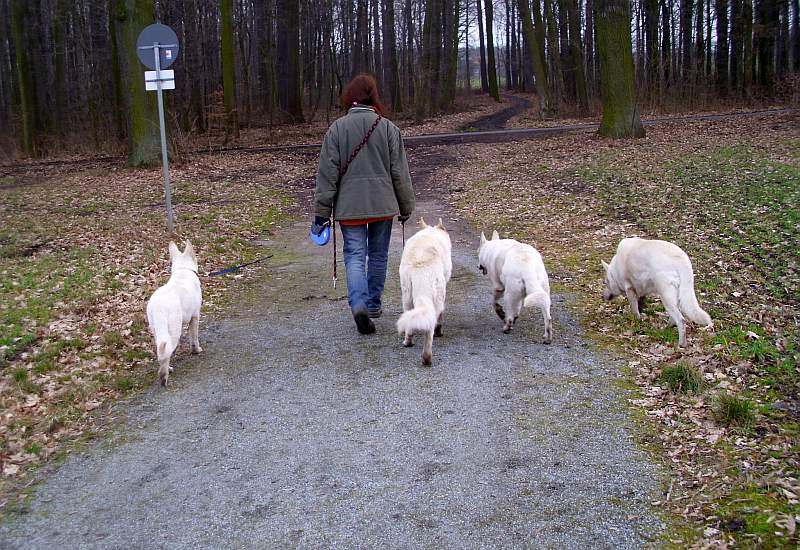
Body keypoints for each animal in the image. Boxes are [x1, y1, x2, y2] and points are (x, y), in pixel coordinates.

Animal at [146, 242, 203, 388]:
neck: (183, 269)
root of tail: (159, 306)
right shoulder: (195, 317)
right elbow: (194, 338)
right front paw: (196, 350)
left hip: (157, 330)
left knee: (162, 350)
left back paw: (168, 369)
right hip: (174, 329)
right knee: (166, 353)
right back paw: (164, 376)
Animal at [398, 219, 454, 366]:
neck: (430, 232)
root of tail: (422, 271)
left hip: (406, 295)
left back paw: (411, 344)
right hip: (437, 296)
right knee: (431, 327)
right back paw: (425, 354)